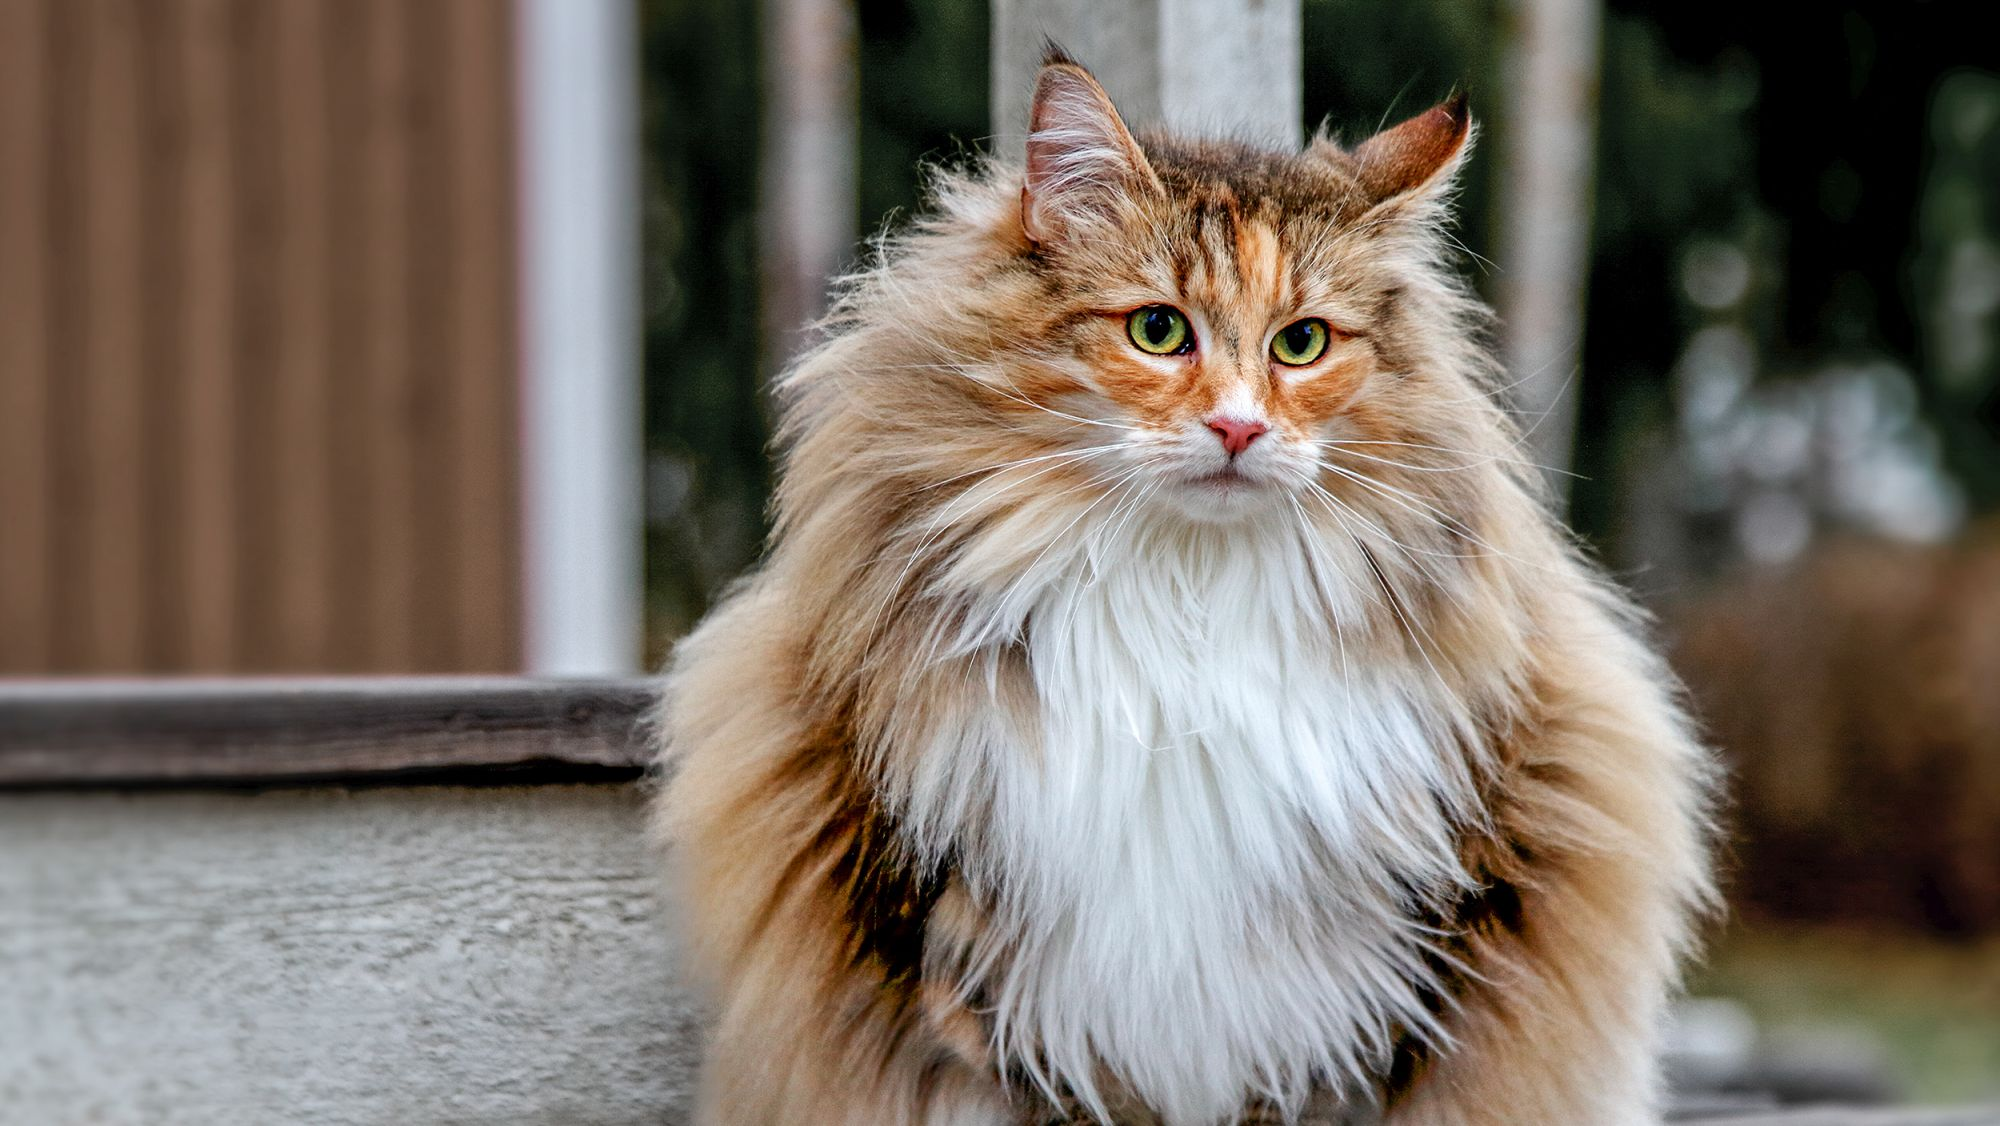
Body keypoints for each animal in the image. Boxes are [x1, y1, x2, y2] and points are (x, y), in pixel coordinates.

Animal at [656, 46, 1720, 1126]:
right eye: (1159, 331)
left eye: (1301, 343)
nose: (1238, 428)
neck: (1185, 608)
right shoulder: (980, 980)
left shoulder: (1363, 996)